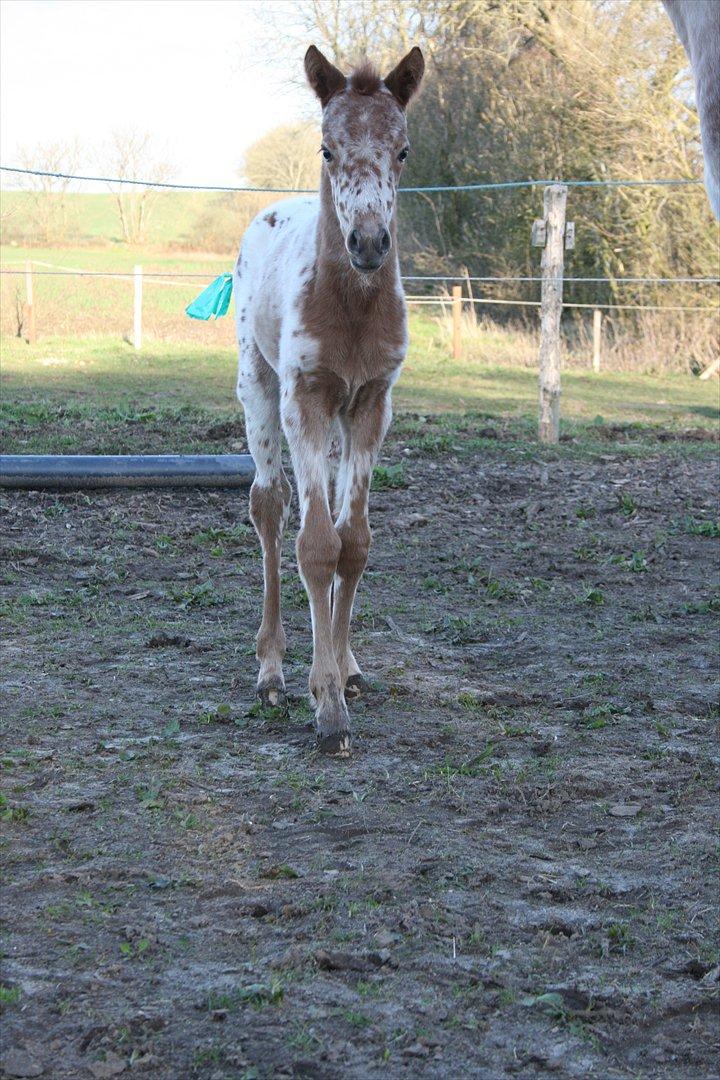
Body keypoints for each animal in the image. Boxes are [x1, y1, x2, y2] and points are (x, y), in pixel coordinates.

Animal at [233, 46, 424, 755]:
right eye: (326, 148)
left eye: (402, 150)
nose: (368, 243)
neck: (351, 313)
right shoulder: (305, 400)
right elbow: (315, 544)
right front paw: (327, 710)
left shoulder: (371, 403)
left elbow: (354, 542)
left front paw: (341, 673)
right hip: (257, 384)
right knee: (269, 505)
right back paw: (270, 670)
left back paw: (348, 663)